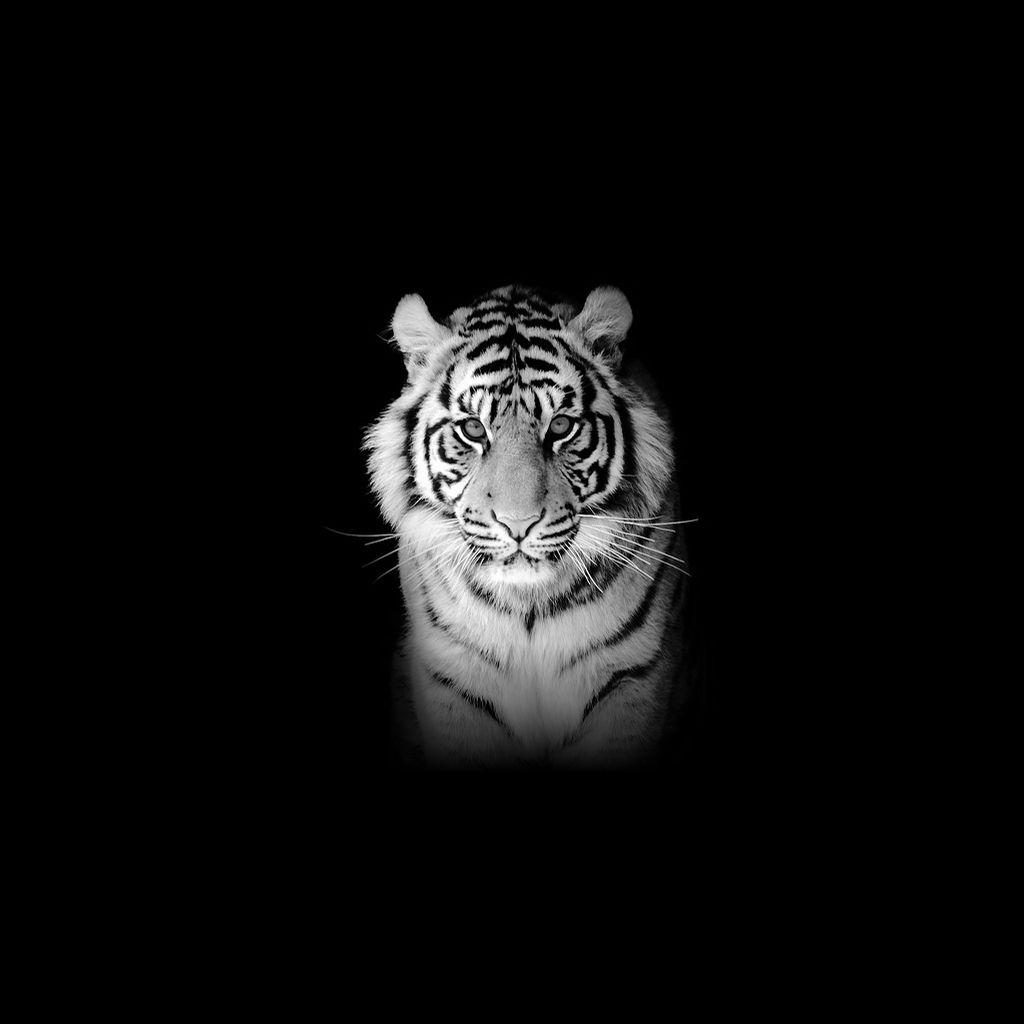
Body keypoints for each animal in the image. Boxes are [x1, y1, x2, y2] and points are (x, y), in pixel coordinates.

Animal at [364, 284, 691, 769]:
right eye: (473, 429)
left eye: (561, 426)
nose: (518, 524)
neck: (528, 608)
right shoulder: (453, 675)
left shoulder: (634, 673)